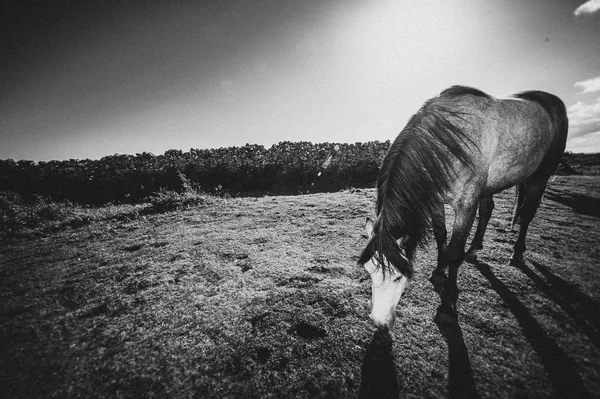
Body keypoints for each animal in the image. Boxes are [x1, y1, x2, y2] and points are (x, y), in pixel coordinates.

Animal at [358, 85, 568, 332]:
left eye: (399, 277)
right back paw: (475, 250)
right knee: (487, 211)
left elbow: (455, 252)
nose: (379, 322)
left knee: (526, 215)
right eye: (369, 272)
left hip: (539, 176)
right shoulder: (436, 200)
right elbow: (441, 235)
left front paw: (447, 306)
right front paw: (439, 272)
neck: (448, 145)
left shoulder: (466, 205)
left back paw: (517, 255)